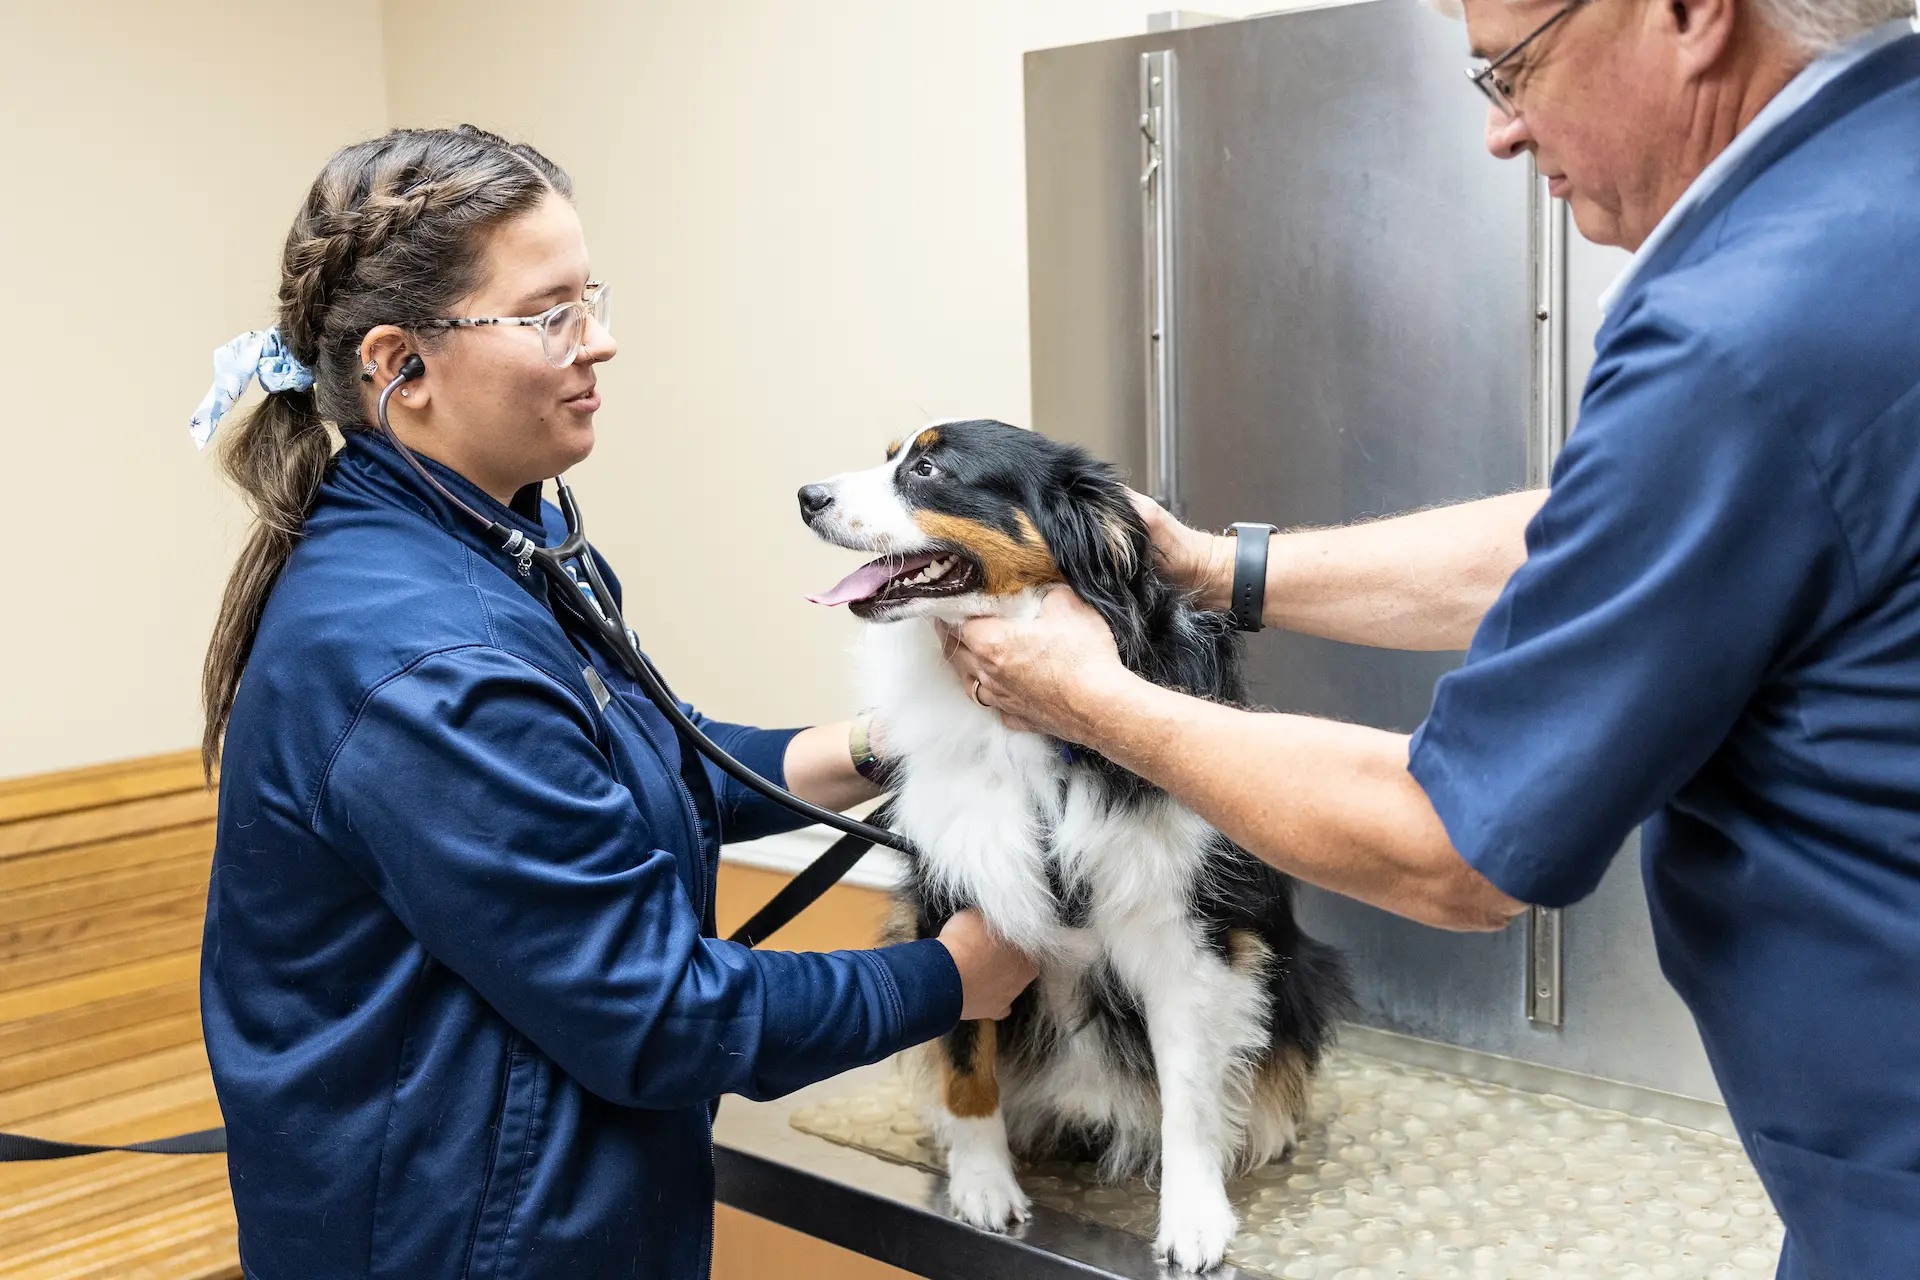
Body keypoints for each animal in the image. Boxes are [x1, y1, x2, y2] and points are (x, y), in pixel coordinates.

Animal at [794, 420, 1351, 1274]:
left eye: (928, 469)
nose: (806, 496)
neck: (1025, 733)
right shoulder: (954, 896)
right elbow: (966, 1058)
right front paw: (983, 1183)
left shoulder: (1186, 933)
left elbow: (1188, 1088)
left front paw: (1194, 1217)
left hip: (1293, 971)